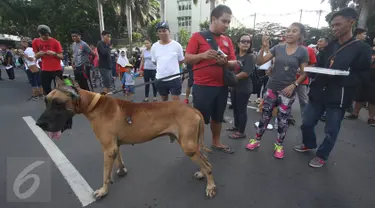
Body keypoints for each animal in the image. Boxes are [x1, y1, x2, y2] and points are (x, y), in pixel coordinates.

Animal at [36, 77, 217, 200]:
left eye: (58, 103)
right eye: (46, 101)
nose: (39, 124)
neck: (93, 105)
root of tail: (192, 109)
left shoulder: (107, 148)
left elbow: (105, 173)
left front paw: (103, 190)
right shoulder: (114, 145)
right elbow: (118, 158)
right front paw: (121, 169)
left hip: (187, 145)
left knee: (208, 165)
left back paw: (210, 186)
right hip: (190, 143)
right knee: (205, 159)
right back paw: (202, 174)